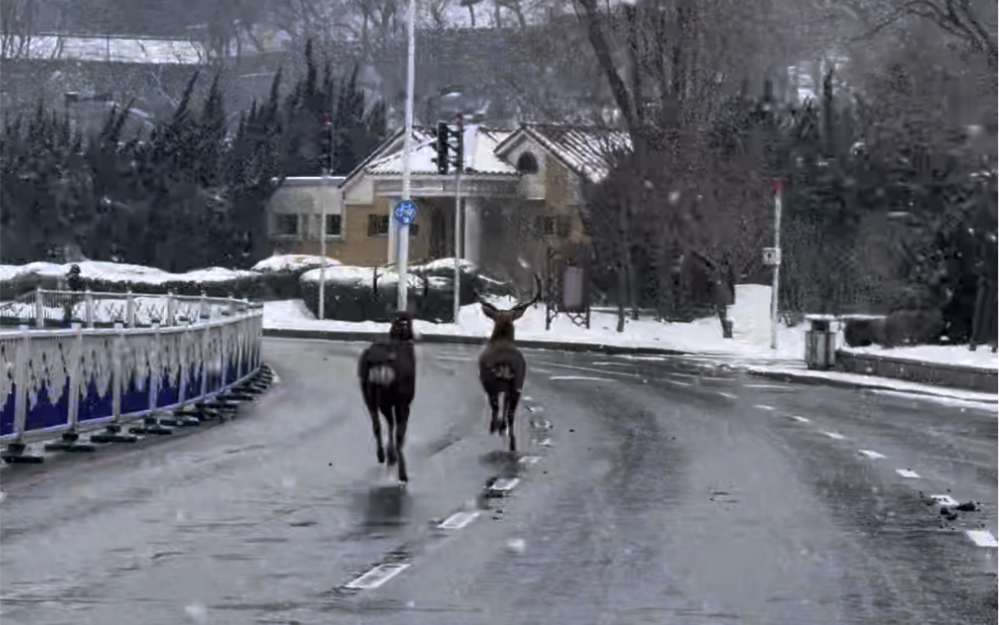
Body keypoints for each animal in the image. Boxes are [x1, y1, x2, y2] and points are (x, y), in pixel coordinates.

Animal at [478, 276, 544, 450]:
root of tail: (505, 363)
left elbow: (497, 407)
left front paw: (495, 427)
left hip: (491, 382)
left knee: (496, 408)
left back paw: (495, 428)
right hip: (517, 384)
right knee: (510, 413)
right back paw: (511, 442)